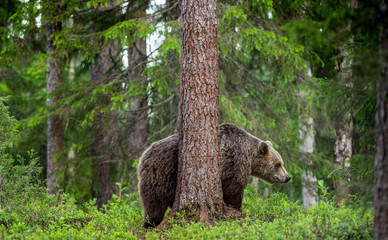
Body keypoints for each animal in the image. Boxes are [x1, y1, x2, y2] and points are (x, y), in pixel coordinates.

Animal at [137, 123, 292, 228]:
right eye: (278, 164)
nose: (287, 177)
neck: (250, 156)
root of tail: (143, 157)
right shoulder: (236, 161)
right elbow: (234, 188)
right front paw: (236, 208)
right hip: (162, 173)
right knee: (154, 204)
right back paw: (149, 224)